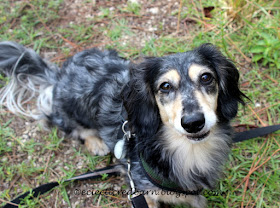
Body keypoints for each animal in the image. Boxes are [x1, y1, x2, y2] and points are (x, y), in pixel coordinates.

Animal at [0, 41, 245, 207]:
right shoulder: (144, 193)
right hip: (68, 111)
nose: (193, 122)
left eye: (206, 77)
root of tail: (59, 75)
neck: (188, 150)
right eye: (165, 86)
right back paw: (95, 142)